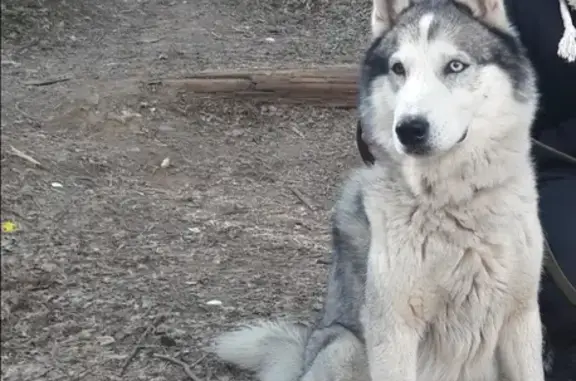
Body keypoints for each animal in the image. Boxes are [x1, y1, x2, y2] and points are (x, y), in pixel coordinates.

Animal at [212, 0, 544, 378]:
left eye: (455, 65)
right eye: (398, 69)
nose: (410, 129)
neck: (452, 205)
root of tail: (304, 355)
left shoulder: (522, 319)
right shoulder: (393, 330)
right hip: (345, 346)